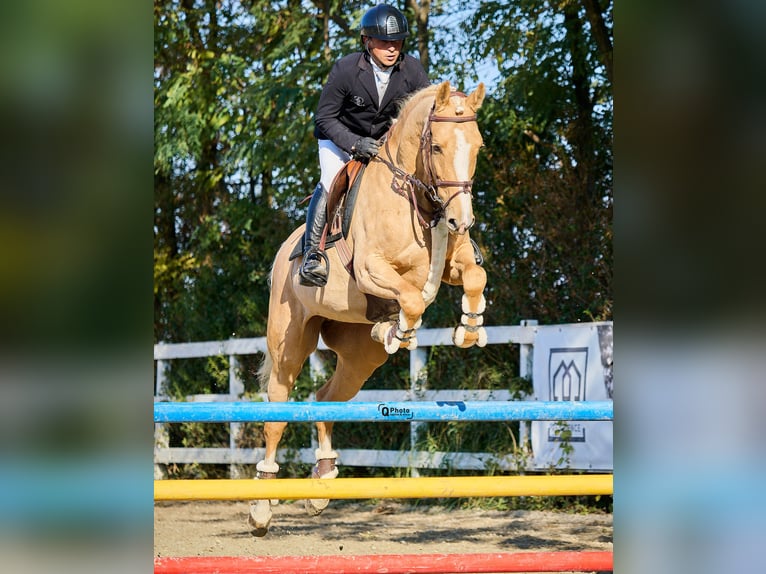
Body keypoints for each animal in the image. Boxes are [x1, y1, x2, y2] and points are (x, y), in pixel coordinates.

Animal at [252, 82, 492, 540]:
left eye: (478, 146)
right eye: (436, 146)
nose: (461, 222)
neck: (418, 200)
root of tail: (281, 253)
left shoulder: (452, 265)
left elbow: (474, 276)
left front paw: (469, 330)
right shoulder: (369, 269)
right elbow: (412, 299)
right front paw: (402, 331)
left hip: (360, 358)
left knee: (325, 399)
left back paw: (322, 484)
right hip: (289, 344)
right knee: (277, 411)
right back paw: (260, 507)